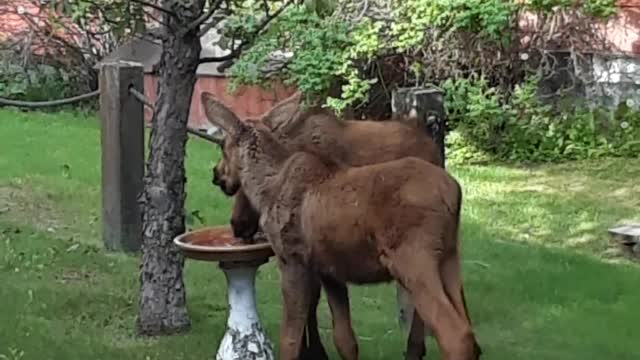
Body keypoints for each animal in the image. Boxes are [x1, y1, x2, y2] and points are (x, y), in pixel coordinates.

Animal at [202, 93, 482, 360]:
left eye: (222, 147)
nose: (217, 175)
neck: (265, 187)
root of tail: (454, 194)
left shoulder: (292, 259)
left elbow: (290, 339)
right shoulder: (330, 271)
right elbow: (345, 340)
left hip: (414, 259)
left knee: (454, 334)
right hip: (449, 259)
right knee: (468, 330)